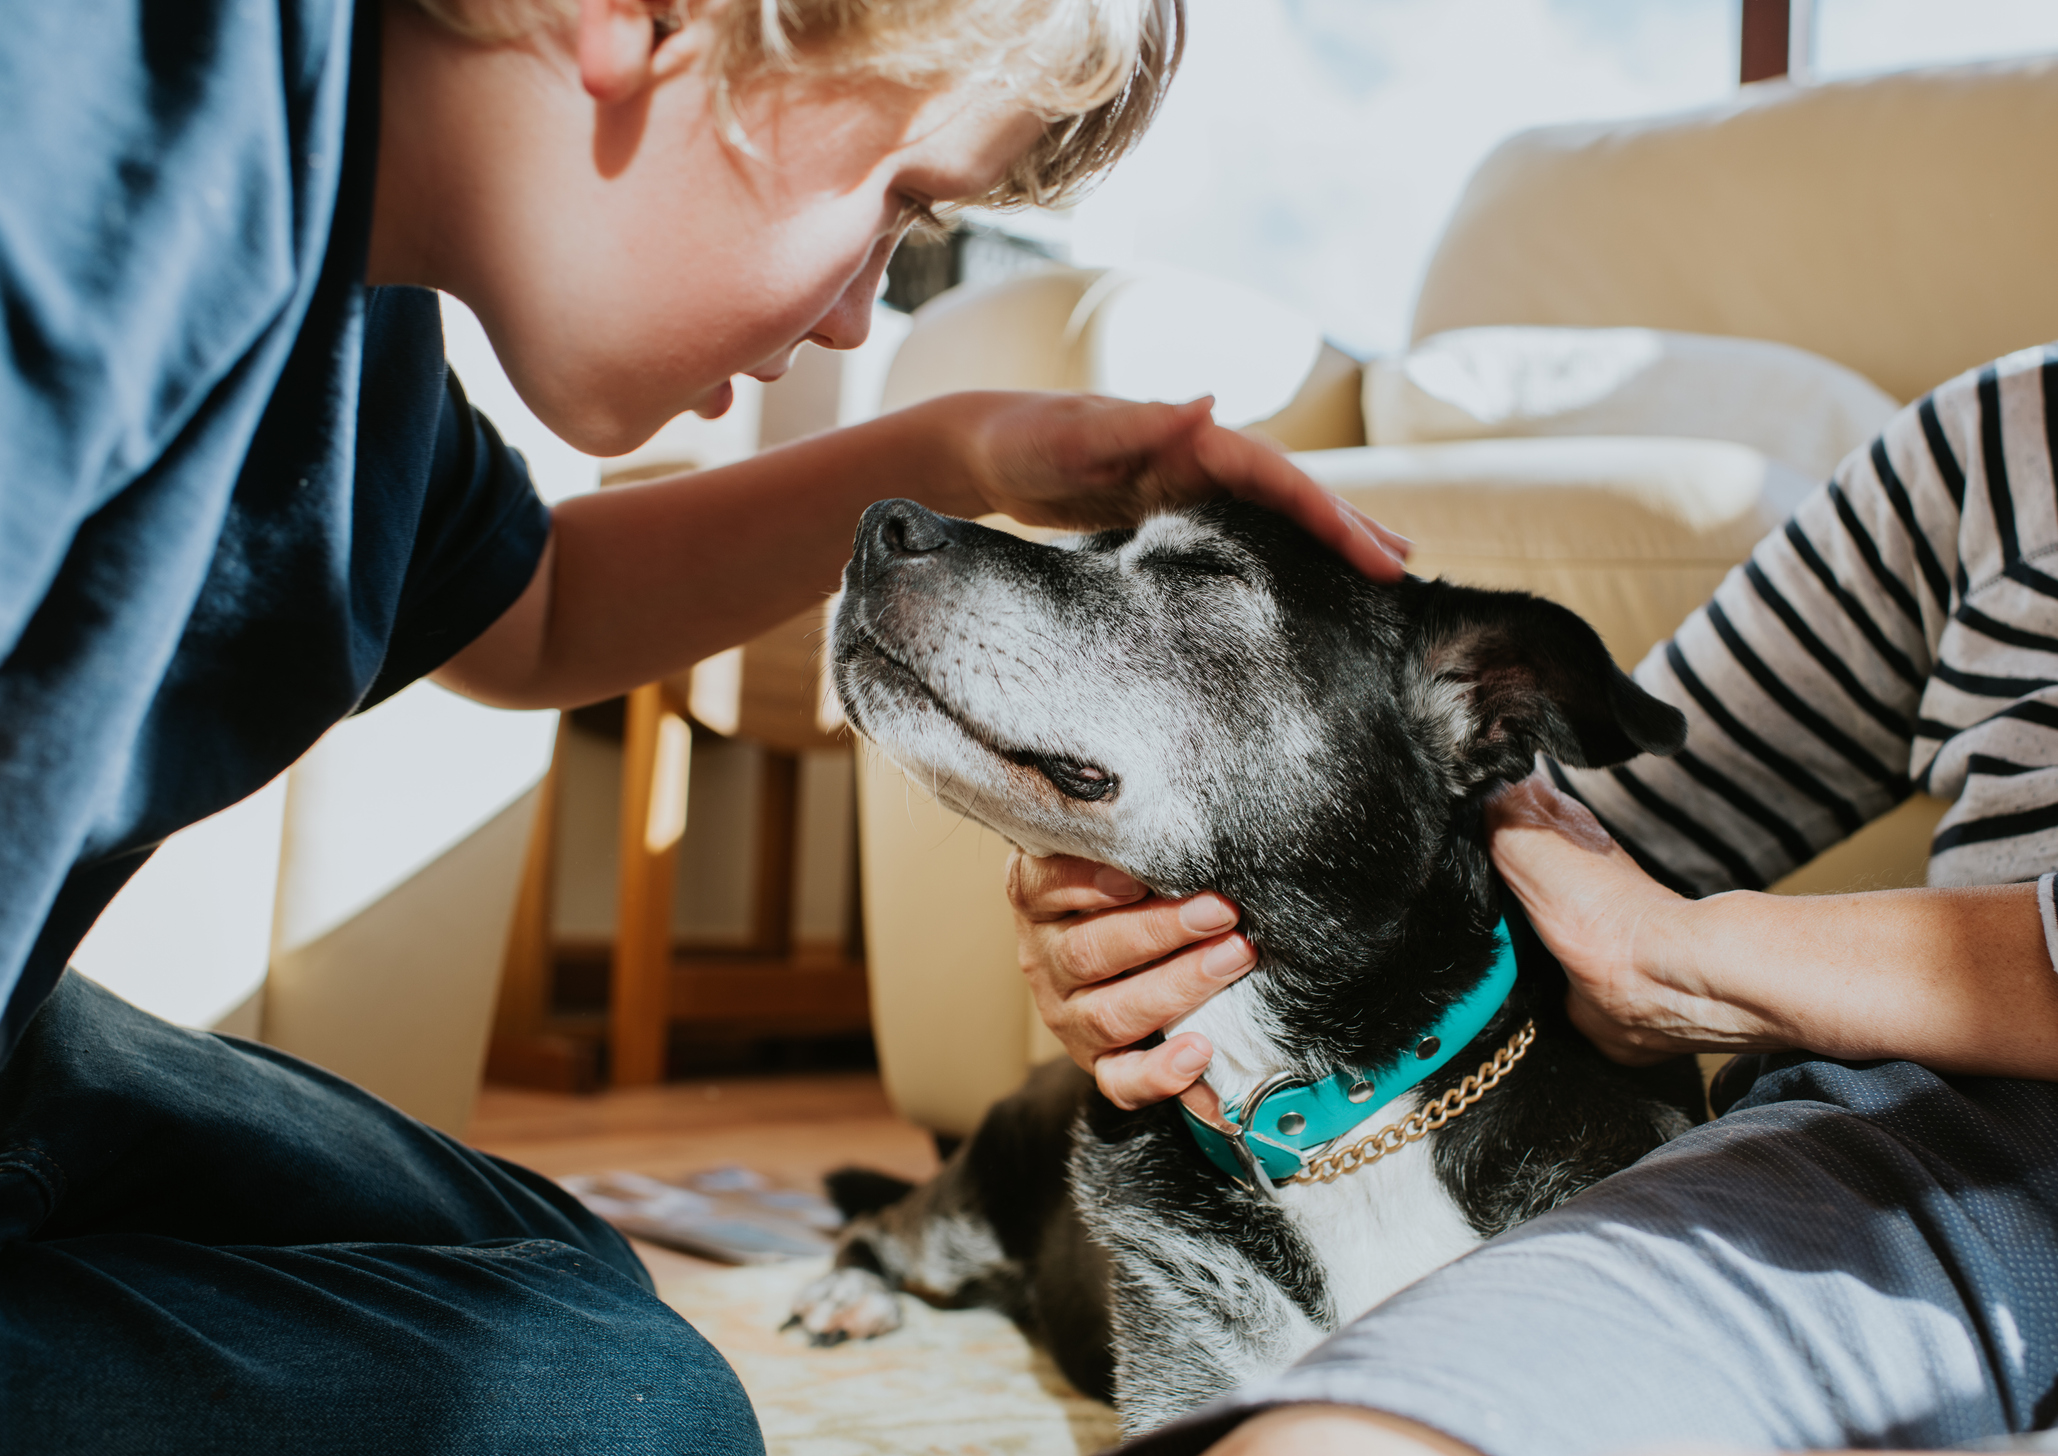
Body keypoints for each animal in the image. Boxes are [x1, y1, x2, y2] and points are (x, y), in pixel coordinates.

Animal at [798, 500, 1704, 1433]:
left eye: (1200, 570)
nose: (880, 522)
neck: (1332, 1123)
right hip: (964, 1215)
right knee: (876, 1223)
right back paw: (846, 1293)